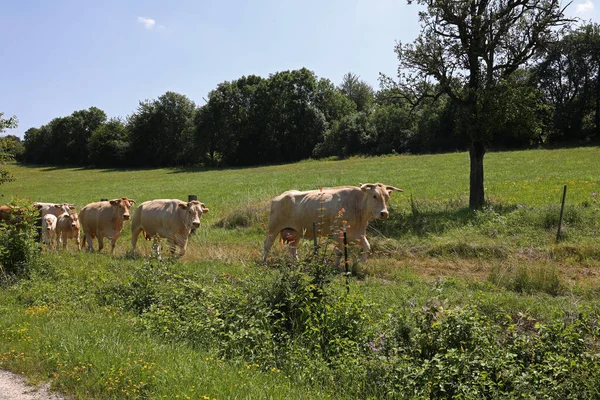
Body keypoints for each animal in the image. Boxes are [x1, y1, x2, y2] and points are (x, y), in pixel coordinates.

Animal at [262, 184, 404, 266]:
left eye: (387, 197)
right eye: (374, 196)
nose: (384, 213)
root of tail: (280, 196)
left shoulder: (358, 233)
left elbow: (367, 247)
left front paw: (361, 263)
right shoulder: (337, 232)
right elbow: (339, 252)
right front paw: (336, 267)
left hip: (295, 232)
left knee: (293, 248)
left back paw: (296, 263)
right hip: (273, 228)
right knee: (267, 244)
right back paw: (264, 261)